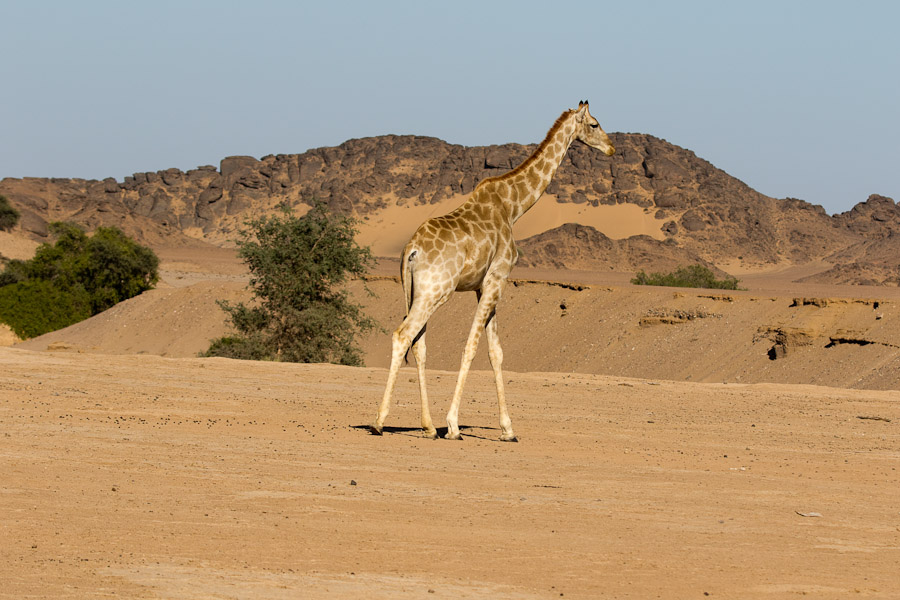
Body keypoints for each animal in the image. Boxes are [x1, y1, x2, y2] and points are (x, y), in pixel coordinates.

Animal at [370, 102, 616, 440]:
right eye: (594, 124)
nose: (611, 148)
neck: (514, 207)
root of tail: (411, 251)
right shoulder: (497, 279)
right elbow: (472, 347)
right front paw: (454, 425)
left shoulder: (481, 286)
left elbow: (495, 351)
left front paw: (507, 429)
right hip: (436, 291)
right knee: (402, 335)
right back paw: (381, 422)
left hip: (415, 292)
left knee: (418, 344)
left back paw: (428, 427)